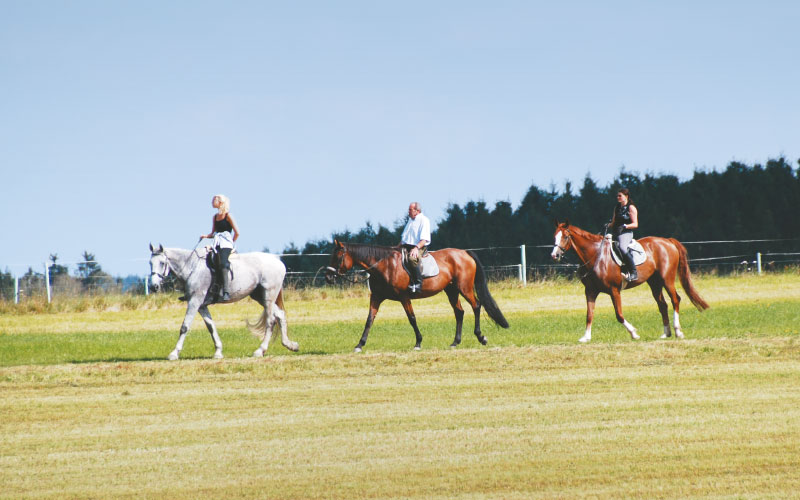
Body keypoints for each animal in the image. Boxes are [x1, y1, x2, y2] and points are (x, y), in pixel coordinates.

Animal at [147, 243, 296, 358]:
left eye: (162, 263)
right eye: (150, 263)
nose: (153, 286)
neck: (192, 267)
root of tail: (278, 261)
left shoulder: (195, 301)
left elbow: (185, 326)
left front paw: (174, 353)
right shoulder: (201, 305)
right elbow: (211, 327)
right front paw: (218, 351)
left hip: (268, 297)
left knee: (270, 321)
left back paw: (260, 350)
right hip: (260, 297)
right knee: (280, 315)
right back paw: (290, 345)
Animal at [324, 241, 506, 352]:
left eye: (338, 257)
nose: (328, 277)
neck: (384, 266)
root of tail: (464, 253)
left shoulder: (404, 297)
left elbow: (412, 318)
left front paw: (418, 342)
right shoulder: (376, 297)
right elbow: (369, 320)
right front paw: (360, 344)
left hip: (464, 287)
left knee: (476, 306)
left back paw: (481, 337)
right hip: (451, 290)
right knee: (459, 312)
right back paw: (455, 342)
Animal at [548, 221, 708, 342]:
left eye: (566, 237)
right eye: (554, 236)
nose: (555, 255)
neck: (596, 256)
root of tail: (668, 241)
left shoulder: (614, 290)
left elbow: (619, 315)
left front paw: (634, 333)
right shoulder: (590, 291)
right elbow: (589, 314)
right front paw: (586, 337)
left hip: (667, 280)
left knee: (675, 300)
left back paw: (677, 331)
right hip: (654, 283)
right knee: (662, 305)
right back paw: (665, 333)